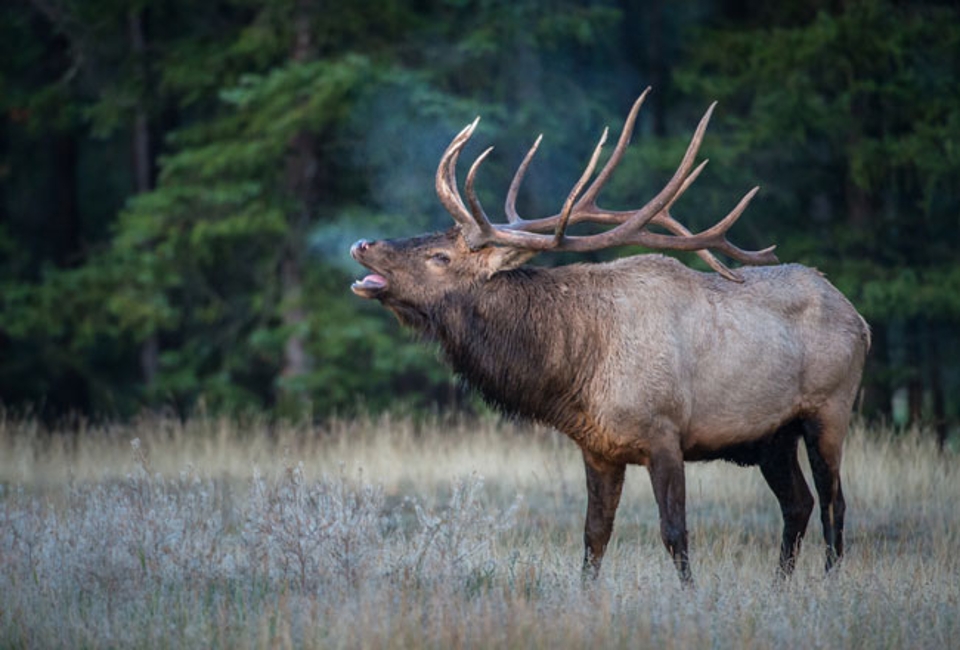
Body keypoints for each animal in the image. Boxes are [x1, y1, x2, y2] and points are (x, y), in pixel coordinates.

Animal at [350, 88, 872, 584]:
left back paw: (828, 583)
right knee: (798, 504)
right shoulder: (598, 448)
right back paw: (780, 585)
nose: (361, 243)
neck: (577, 367)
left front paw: (690, 596)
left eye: (439, 256)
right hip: (772, 437)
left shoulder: (665, 432)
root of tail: (861, 321)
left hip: (829, 410)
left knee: (834, 505)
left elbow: (674, 532)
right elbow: (594, 535)